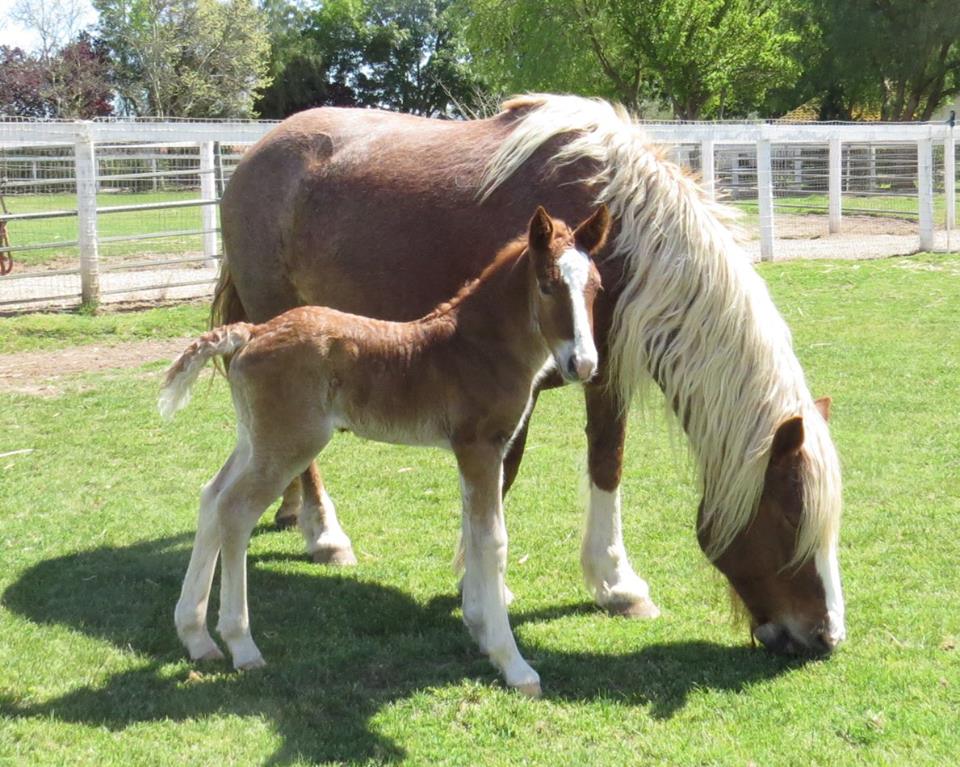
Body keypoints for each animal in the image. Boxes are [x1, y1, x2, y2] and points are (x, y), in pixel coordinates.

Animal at [158, 204, 608, 696]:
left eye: (596, 287)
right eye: (547, 284)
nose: (583, 364)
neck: (478, 346)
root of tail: (253, 331)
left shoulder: (472, 455)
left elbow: (472, 532)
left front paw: (480, 631)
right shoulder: (480, 448)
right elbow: (492, 541)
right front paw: (514, 665)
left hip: (255, 439)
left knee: (211, 497)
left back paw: (196, 637)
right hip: (289, 443)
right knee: (235, 512)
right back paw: (241, 645)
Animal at [214, 94, 844, 660]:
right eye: (792, 518)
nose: (826, 637)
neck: (619, 230)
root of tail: (256, 154)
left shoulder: (604, 372)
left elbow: (607, 463)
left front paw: (616, 585)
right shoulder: (514, 387)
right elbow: (502, 478)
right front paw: (478, 587)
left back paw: (291, 511)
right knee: (301, 457)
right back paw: (325, 534)